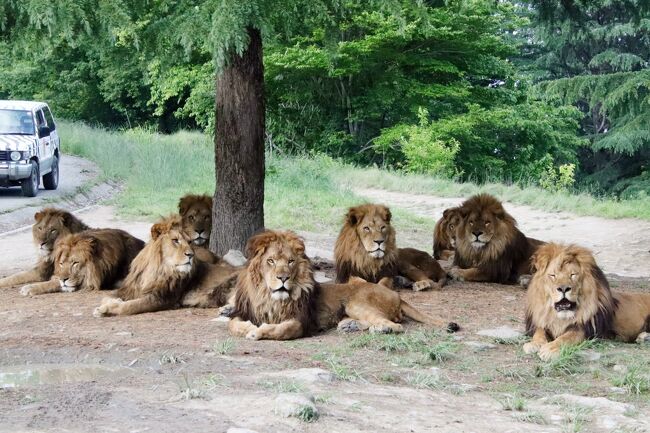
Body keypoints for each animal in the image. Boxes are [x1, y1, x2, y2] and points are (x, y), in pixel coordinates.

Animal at [318, 276, 458, 332]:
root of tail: (399, 297)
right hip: (355, 279)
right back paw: (349, 325)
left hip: (355, 305)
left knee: (395, 325)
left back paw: (382, 329)